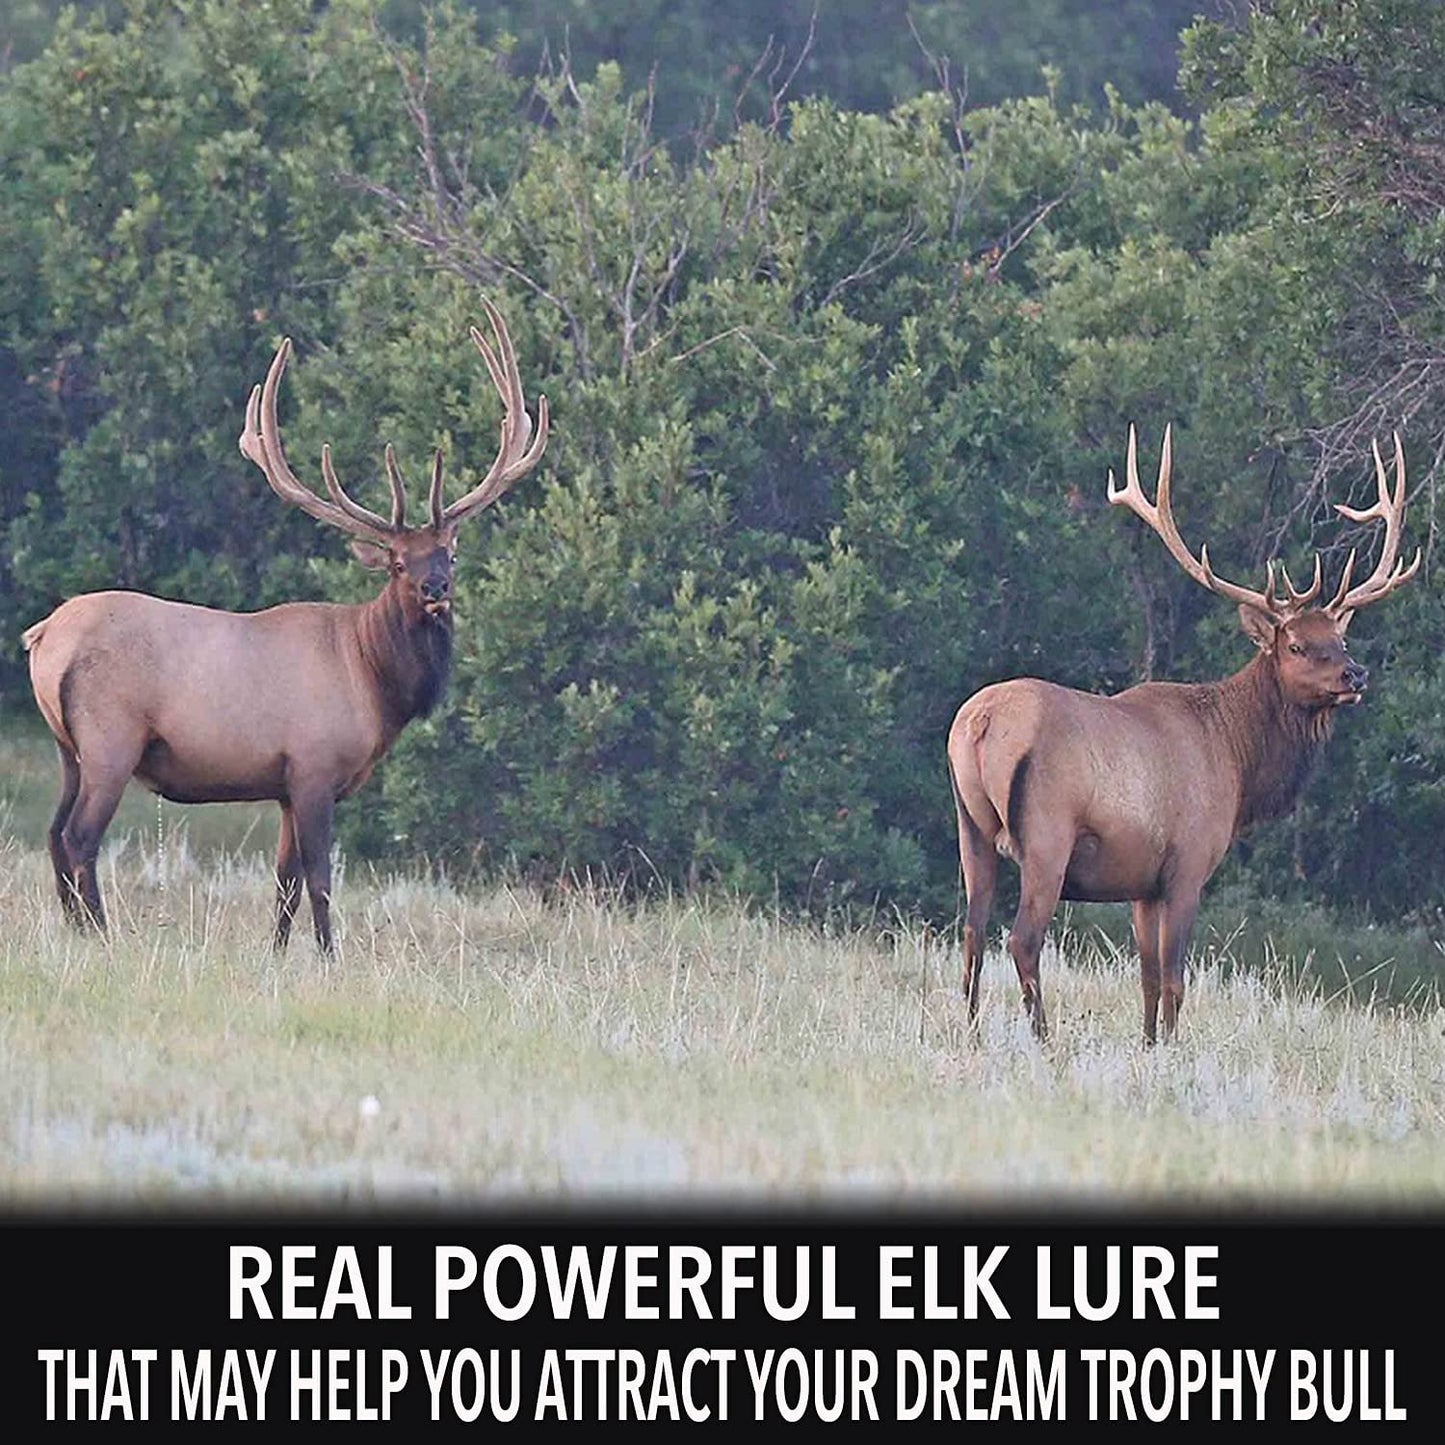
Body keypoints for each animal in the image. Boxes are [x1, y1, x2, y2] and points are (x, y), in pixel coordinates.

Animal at [22, 299, 548, 954]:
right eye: (399, 562)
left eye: (449, 552)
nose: (435, 590)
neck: (372, 680)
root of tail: (42, 637)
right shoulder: (314, 766)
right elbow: (320, 876)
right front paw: (328, 956)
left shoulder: (283, 786)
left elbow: (285, 881)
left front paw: (276, 953)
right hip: (109, 739)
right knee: (79, 839)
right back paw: (101, 933)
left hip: (67, 748)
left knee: (51, 833)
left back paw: (77, 932)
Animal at [947, 424, 1420, 1044]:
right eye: (1296, 644)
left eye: (1339, 639)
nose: (1355, 675)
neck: (1238, 764)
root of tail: (978, 723)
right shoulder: (1189, 864)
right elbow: (1175, 978)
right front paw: (1173, 1047)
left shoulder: (1142, 883)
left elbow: (1148, 978)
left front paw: (1150, 1045)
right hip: (1046, 834)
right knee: (1022, 941)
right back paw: (1044, 1041)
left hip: (970, 827)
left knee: (972, 934)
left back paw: (971, 1033)